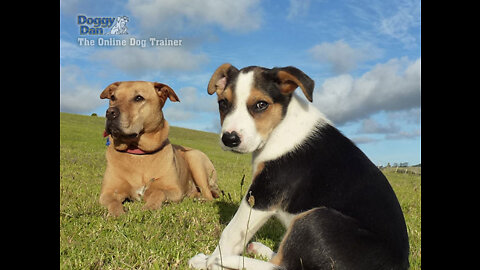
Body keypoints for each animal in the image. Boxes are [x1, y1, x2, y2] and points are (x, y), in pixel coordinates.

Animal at [99, 80, 219, 217]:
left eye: (138, 98)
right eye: (113, 97)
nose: (110, 112)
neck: (138, 153)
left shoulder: (174, 190)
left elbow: (158, 192)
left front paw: (149, 207)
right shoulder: (107, 193)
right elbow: (113, 202)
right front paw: (117, 213)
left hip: (195, 158)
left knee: (208, 195)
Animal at [188, 63, 408, 270]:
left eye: (261, 104)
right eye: (223, 103)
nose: (229, 139)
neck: (281, 125)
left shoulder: (263, 193)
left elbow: (231, 232)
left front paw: (210, 259)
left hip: (316, 218)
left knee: (285, 266)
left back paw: (219, 261)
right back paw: (259, 250)